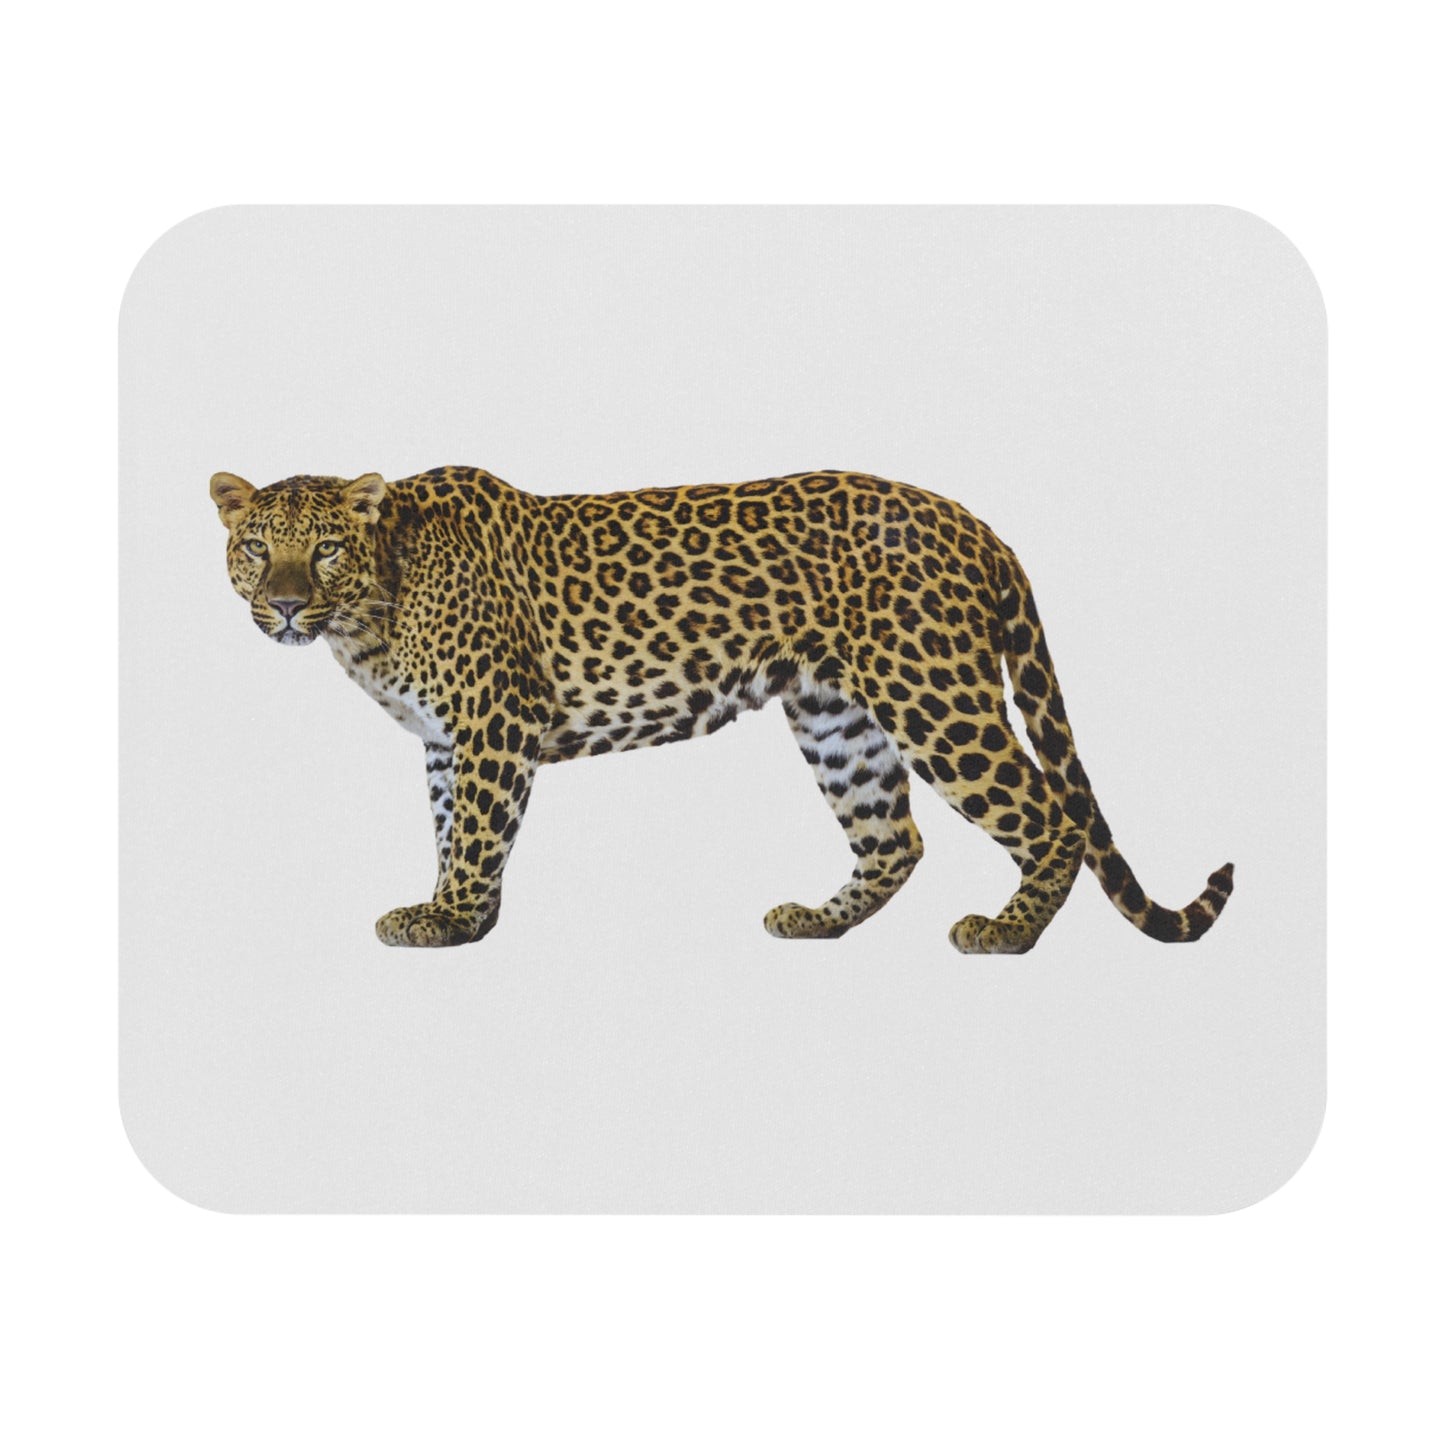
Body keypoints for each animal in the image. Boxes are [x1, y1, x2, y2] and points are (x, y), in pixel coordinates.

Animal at [209, 466, 1234, 953]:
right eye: (257, 547)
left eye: (325, 549)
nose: (289, 604)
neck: (373, 607)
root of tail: (979, 526)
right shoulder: (443, 740)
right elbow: (449, 825)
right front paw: (456, 909)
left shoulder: (494, 723)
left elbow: (475, 832)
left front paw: (450, 917)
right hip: (834, 714)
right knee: (892, 837)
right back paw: (818, 920)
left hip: (931, 690)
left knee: (1047, 812)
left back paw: (1007, 932)